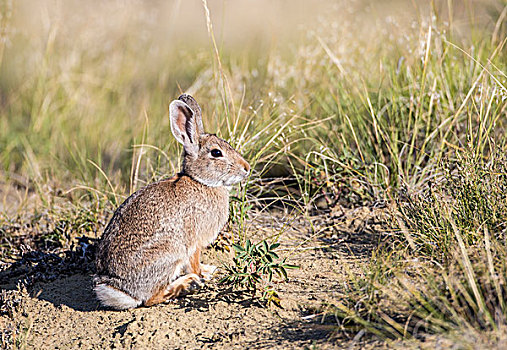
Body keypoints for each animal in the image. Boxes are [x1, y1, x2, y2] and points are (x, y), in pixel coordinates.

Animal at [94, 93, 252, 308]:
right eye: (216, 153)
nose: (246, 168)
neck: (200, 181)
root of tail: (121, 289)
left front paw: (209, 269)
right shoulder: (194, 241)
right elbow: (194, 263)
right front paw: (202, 275)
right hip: (170, 253)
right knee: (150, 299)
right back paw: (187, 285)